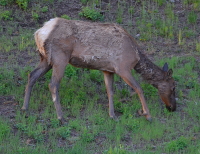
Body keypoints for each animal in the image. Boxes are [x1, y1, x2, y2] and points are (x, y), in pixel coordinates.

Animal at [21, 17, 176, 122]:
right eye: (173, 86)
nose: (173, 107)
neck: (136, 56)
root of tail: (39, 32)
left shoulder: (108, 70)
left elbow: (110, 91)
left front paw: (112, 115)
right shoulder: (123, 67)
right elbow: (139, 88)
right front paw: (147, 114)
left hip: (45, 59)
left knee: (32, 75)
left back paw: (25, 107)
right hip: (60, 58)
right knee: (53, 84)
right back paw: (61, 117)